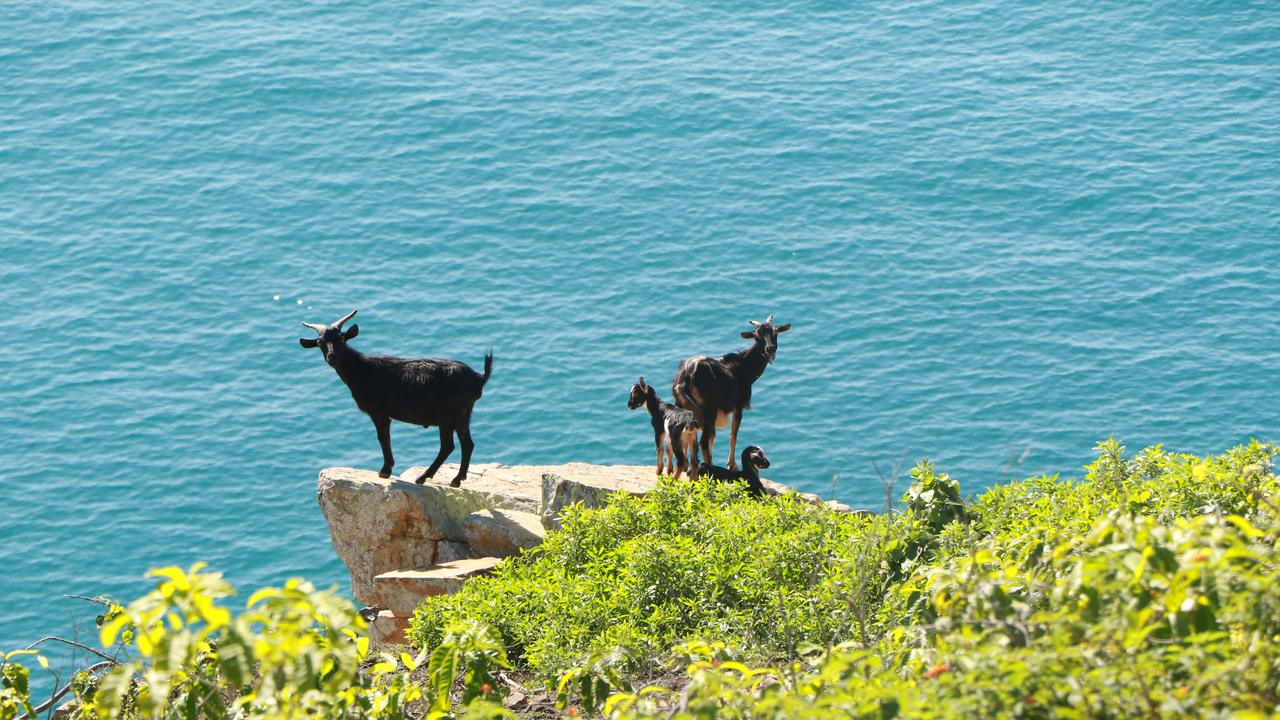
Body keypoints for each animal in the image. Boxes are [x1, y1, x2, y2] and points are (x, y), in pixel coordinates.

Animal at [299, 310, 492, 487]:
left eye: (341, 338)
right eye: (320, 342)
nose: (331, 356)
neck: (361, 369)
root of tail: (479, 378)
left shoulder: (378, 411)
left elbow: (383, 436)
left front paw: (385, 470)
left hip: (448, 413)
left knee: (448, 445)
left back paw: (423, 477)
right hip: (463, 414)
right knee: (468, 443)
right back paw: (457, 480)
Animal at [672, 315, 790, 470]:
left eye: (775, 333)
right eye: (756, 337)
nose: (770, 349)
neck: (744, 366)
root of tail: (686, 377)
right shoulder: (738, 405)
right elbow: (733, 435)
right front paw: (732, 465)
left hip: (684, 407)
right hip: (709, 410)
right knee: (703, 442)